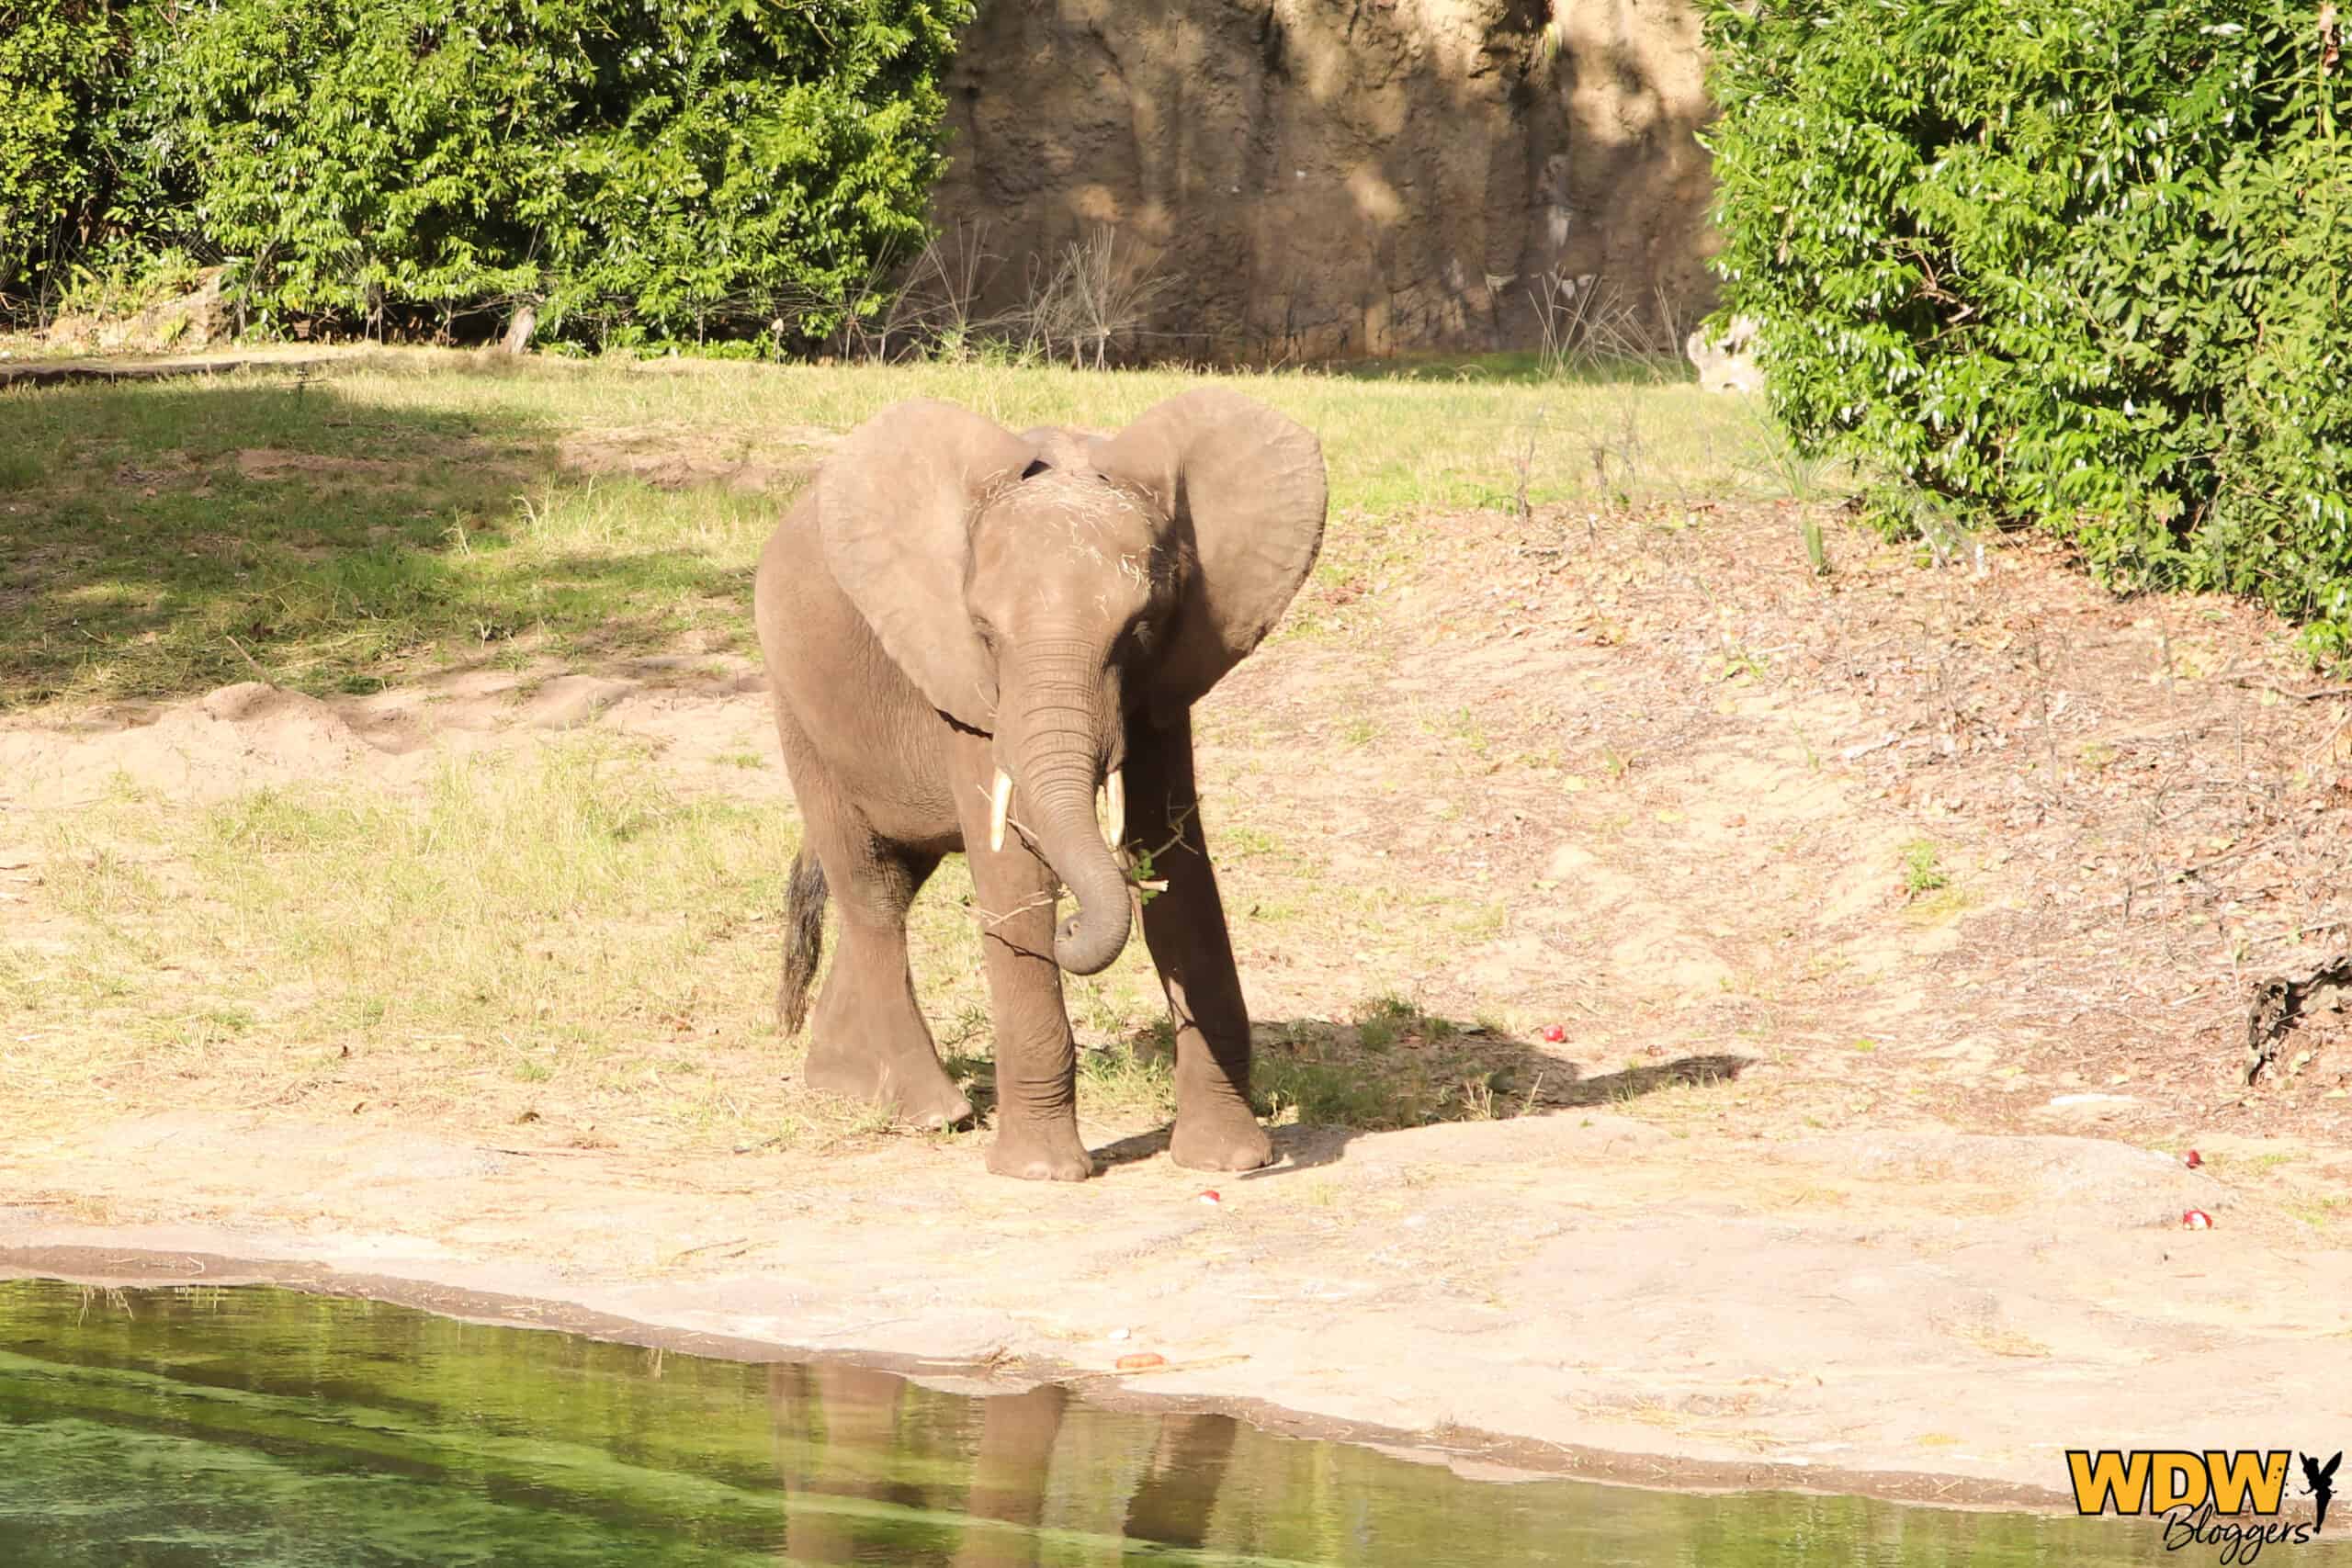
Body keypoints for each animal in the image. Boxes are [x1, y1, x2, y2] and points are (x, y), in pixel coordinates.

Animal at [762, 389, 1336, 1175]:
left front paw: (1229, 1162)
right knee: (871, 889)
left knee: (896, 881)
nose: (1068, 927)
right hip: (800, 701)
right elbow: (1014, 866)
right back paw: (931, 1112)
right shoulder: (967, 682)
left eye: (1142, 625)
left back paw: (846, 1085)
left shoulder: (1164, 679)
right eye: (984, 630)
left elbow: (1177, 854)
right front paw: (1042, 1173)